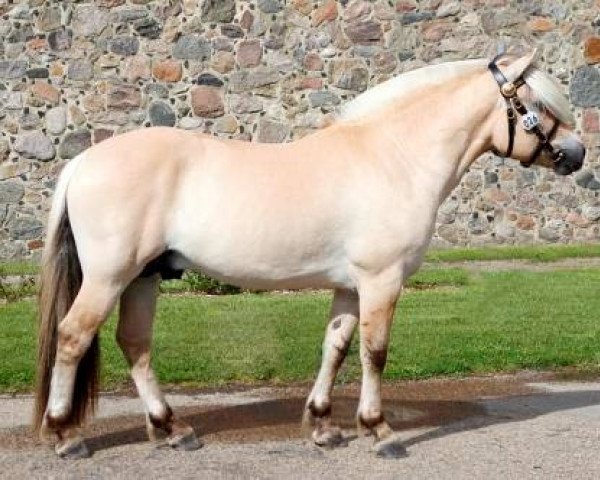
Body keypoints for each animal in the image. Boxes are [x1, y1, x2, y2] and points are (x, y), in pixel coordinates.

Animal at [32, 50, 584, 460]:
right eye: (536, 103)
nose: (577, 154)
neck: (395, 158)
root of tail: (83, 161)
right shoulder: (382, 280)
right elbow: (375, 352)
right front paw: (379, 431)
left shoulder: (350, 285)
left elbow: (335, 347)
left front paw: (323, 428)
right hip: (109, 276)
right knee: (73, 336)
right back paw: (65, 435)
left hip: (143, 277)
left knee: (135, 343)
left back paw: (172, 429)